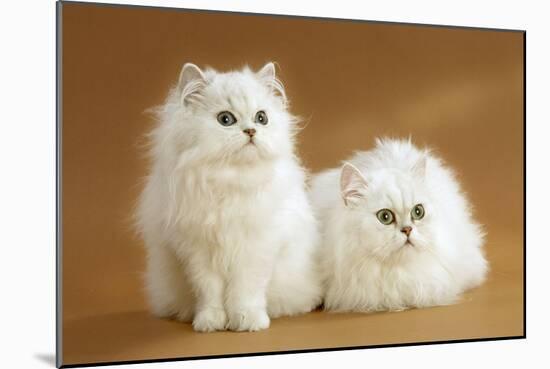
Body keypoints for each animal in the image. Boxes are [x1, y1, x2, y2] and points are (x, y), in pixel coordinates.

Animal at [135, 61, 322, 332]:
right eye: (226, 119)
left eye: (261, 118)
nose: (251, 131)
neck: (230, 180)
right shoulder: (198, 253)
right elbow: (209, 293)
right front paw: (209, 322)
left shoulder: (255, 248)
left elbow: (245, 291)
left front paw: (247, 321)